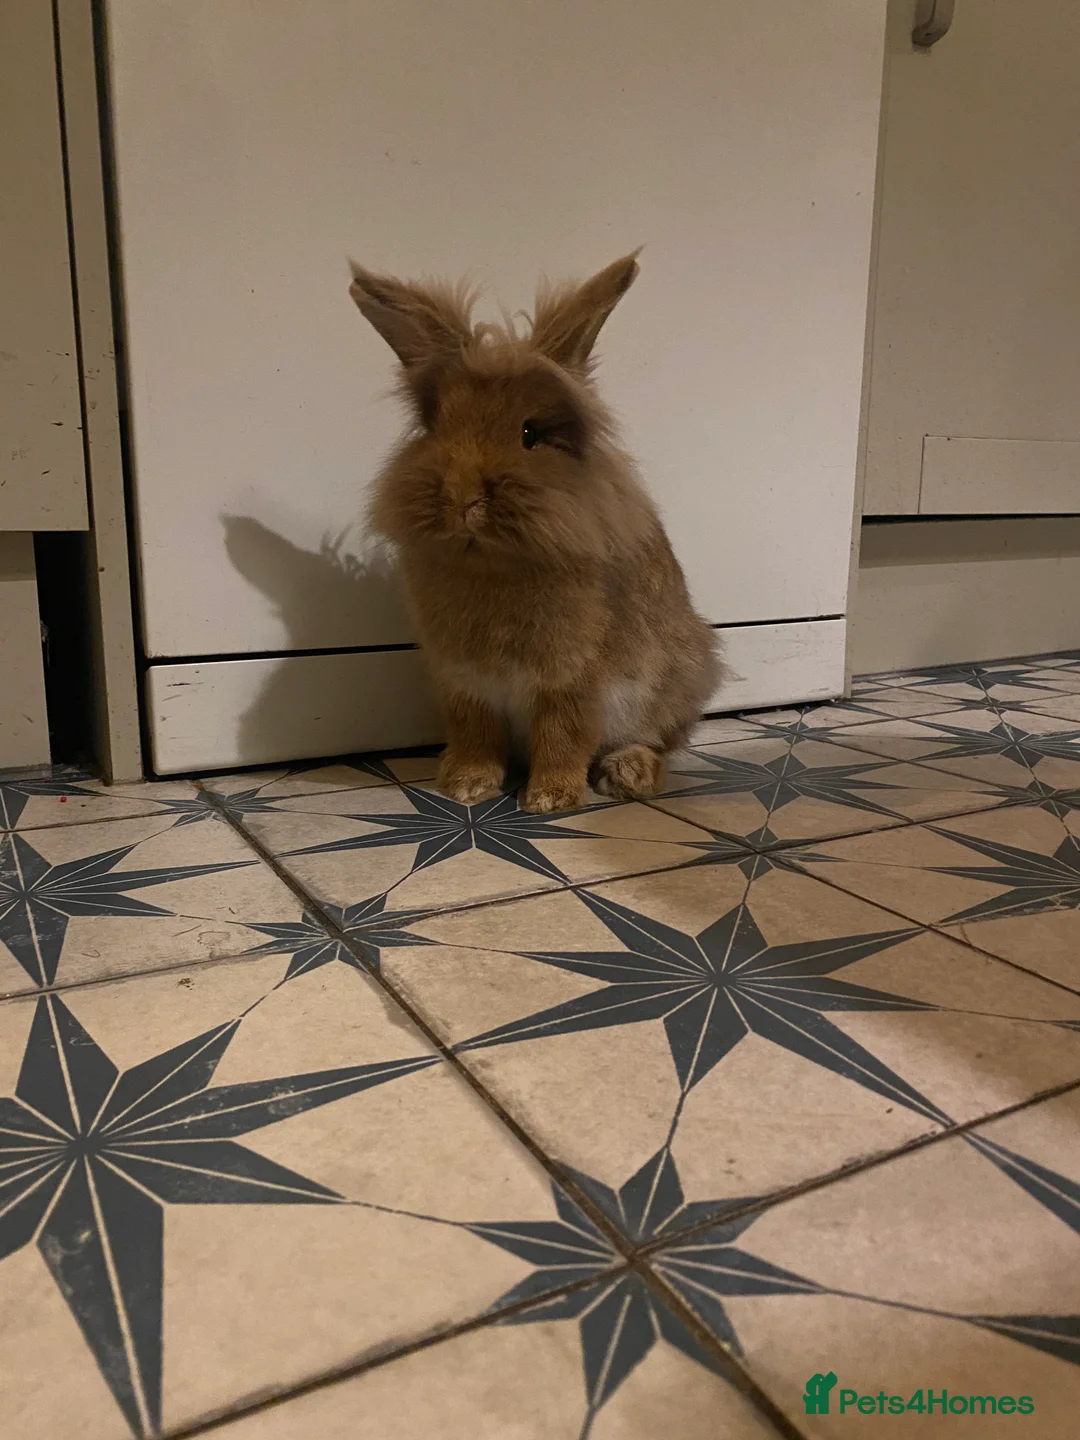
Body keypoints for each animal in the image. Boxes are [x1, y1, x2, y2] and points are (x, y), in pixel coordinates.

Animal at [349, 251, 722, 813]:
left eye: (530, 433)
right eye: (436, 428)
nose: (462, 499)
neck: (493, 565)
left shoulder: (575, 681)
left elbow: (563, 736)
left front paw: (550, 799)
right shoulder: (465, 687)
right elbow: (478, 737)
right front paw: (466, 787)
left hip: (676, 681)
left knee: (658, 743)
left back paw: (628, 774)